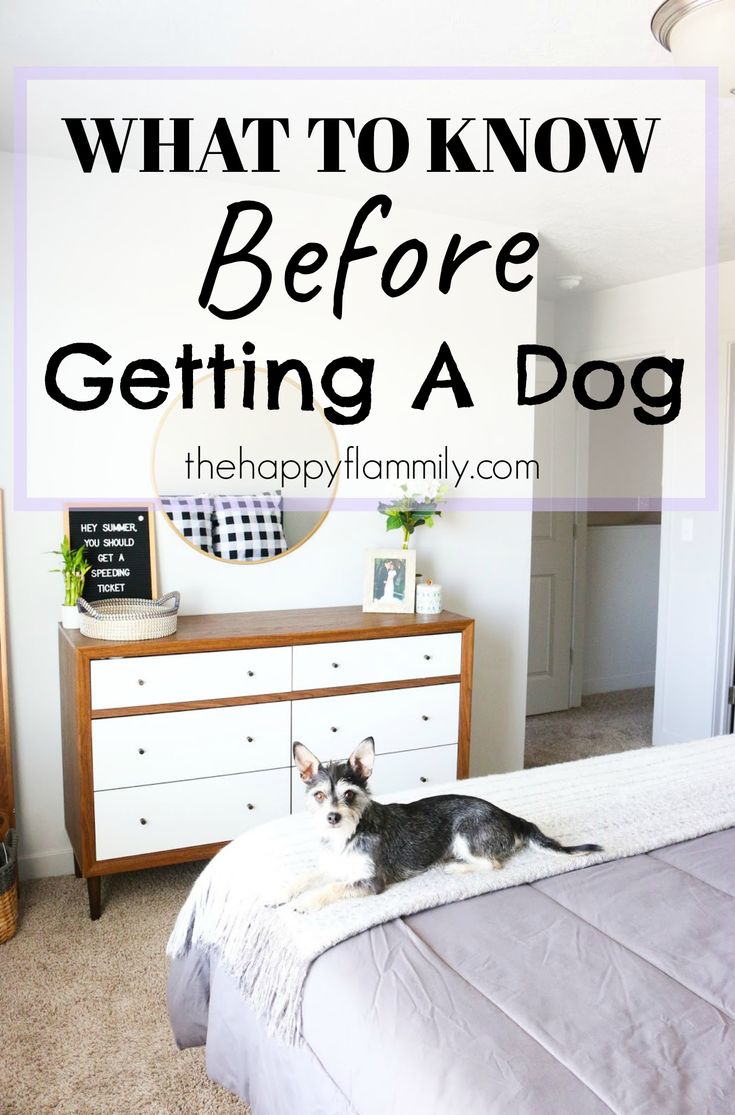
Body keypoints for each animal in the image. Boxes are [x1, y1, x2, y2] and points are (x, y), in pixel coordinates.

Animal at [267, 735, 602, 909]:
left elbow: (334, 887)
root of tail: (508, 816)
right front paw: (280, 894)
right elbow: (305, 876)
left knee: (492, 863)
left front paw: (305, 902)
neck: (347, 835)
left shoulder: (372, 881)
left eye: (349, 794)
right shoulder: (330, 865)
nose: (332, 817)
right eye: (320, 796)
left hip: (465, 833)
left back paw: (455, 867)